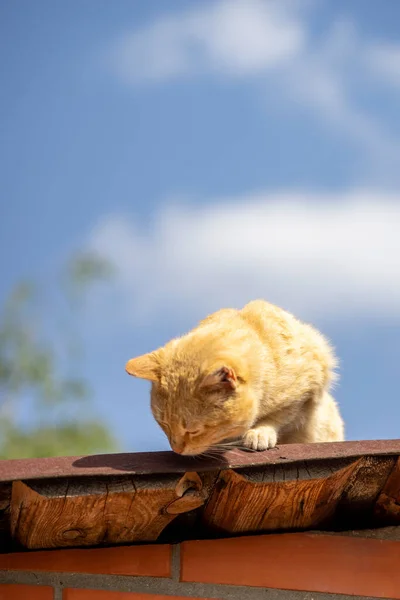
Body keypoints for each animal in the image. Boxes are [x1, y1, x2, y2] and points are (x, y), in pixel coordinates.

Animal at [125, 298, 344, 458]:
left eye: (194, 431)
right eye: (164, 424)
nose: (177, 449)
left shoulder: (307, 390)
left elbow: (280, 416)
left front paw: (259, 432)